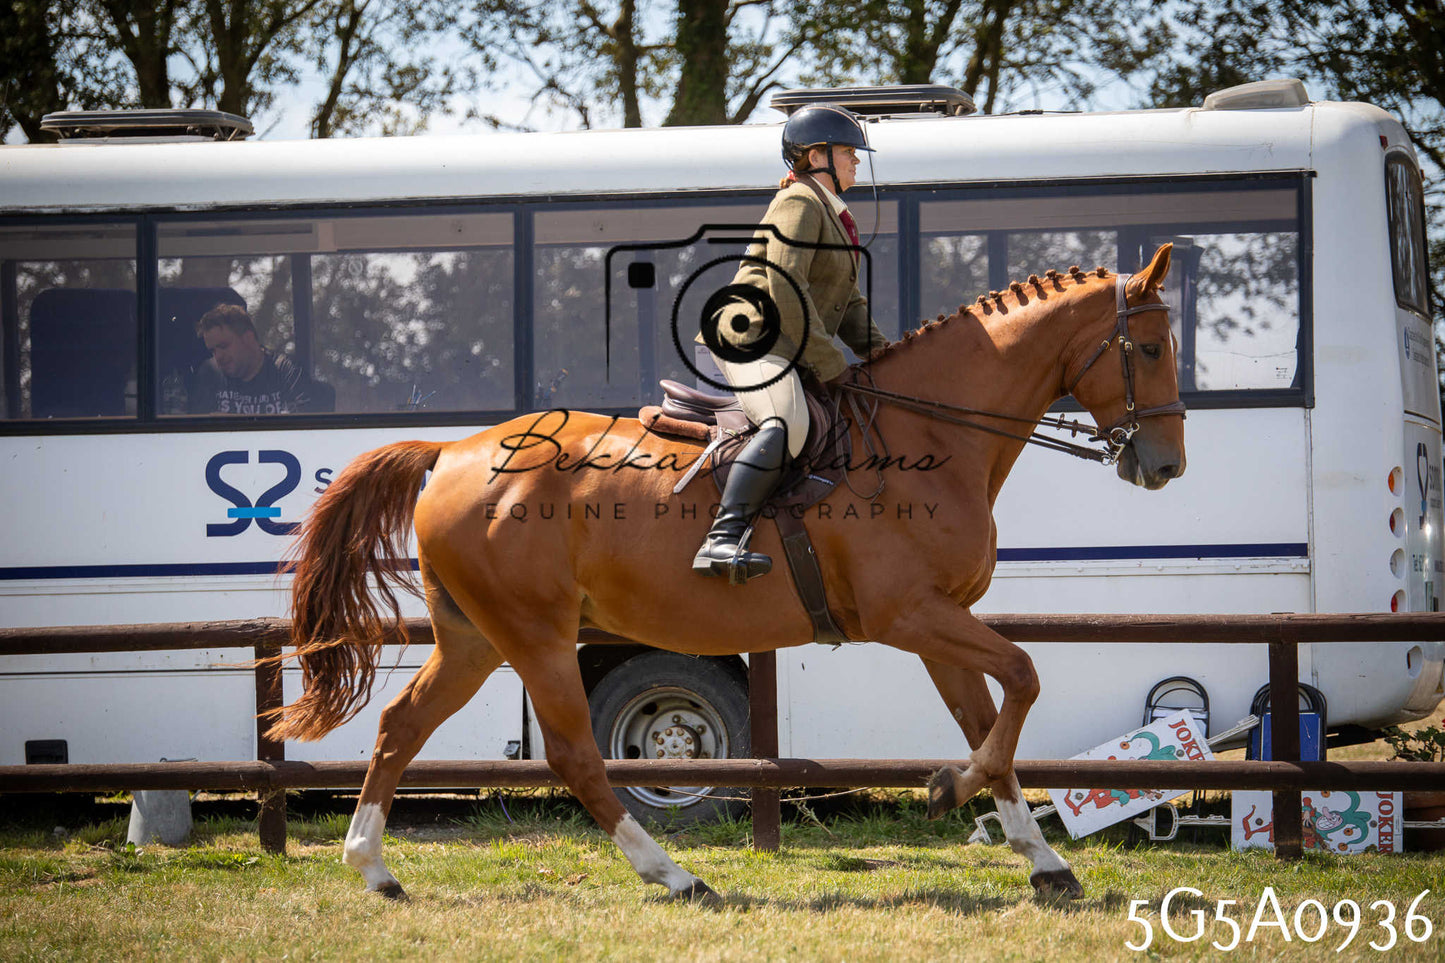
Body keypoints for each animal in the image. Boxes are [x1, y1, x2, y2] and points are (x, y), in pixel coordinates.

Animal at [267, 243, 1184, 902]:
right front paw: (948, 790)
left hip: (473, 638)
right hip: (534, 634)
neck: (930, 437)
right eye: (1147, 346)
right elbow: (1024, 679)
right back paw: (676, 875)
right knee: (573, 755)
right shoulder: (909, 616)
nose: (1165, 466)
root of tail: (452, 450)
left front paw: (1036, 856)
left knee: (400, 725)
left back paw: (375, 868)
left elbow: (990, 724)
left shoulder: (938, 625)